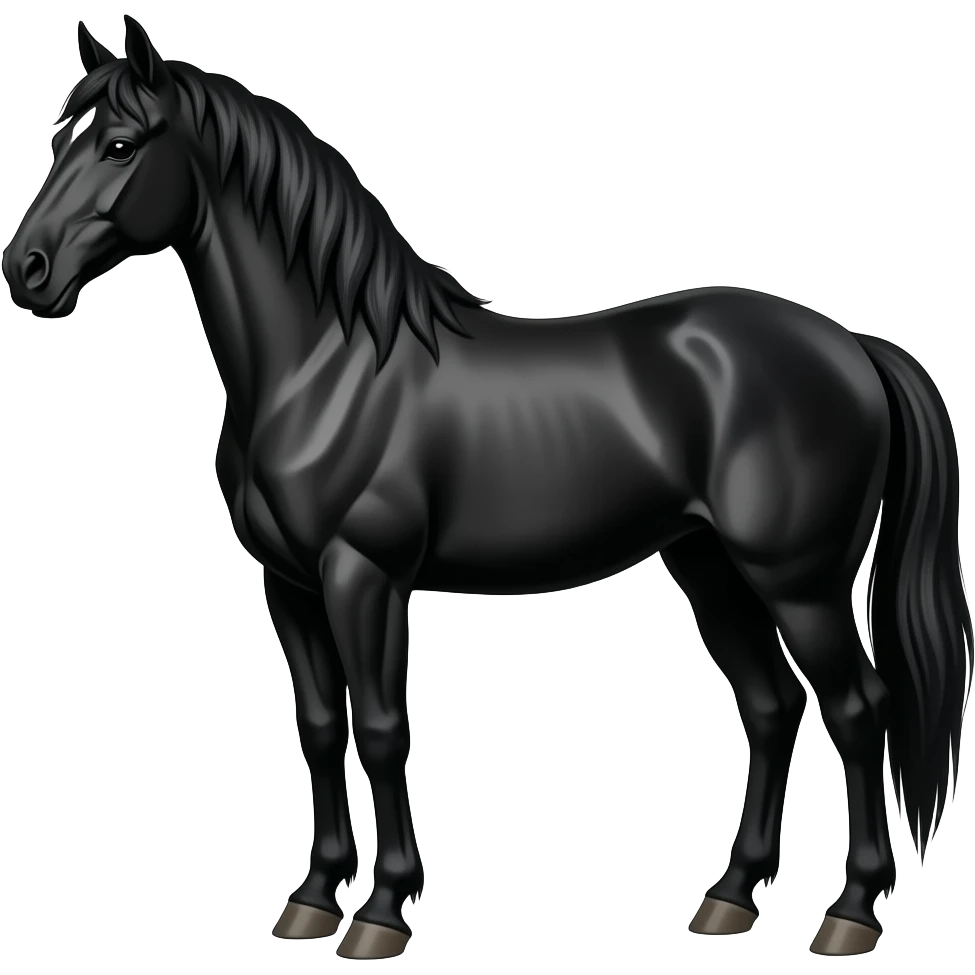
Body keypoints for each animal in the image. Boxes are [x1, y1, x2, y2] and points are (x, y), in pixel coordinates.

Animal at [3, 16, 971, 960]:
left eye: (121, 145)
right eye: (58, 138)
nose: (27, 270)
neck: (326, 364)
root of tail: (852, 347)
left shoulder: (365, 577)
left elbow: (381, 728)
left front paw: (382, 911)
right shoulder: (289, 583)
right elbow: (318, 728)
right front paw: (311, 899)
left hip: (798, 581)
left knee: (856, 709)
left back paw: (849, 912)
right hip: (710, 568)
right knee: (771, 710)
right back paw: (729, 898)